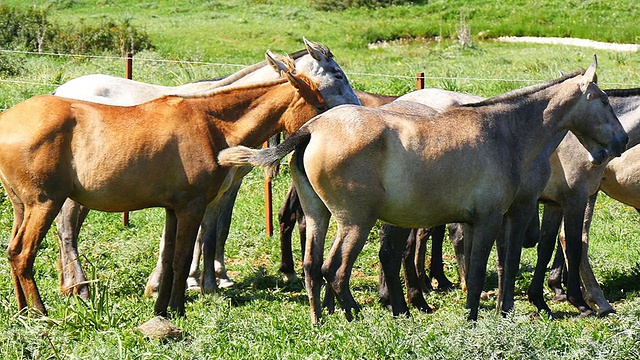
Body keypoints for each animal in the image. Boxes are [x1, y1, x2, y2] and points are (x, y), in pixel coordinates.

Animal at [0, 47, 360, 316]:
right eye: (325, 92)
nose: (347, 120)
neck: (211, 123)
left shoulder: (177, 208)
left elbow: (174, 254)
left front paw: (164, 305)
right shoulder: (193, 205)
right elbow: (187, 253)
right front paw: (183, 303)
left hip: (23, 207)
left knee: (16, 249)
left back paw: (27, 309)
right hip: (45, 204)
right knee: (30, 250)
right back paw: (48, 307)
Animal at [219, 59, 624, 324]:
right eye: (604, 100)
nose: (620, 142)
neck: (505, 131)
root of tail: (310, 128)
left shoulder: (480, 221)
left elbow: (485, 265)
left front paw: (492, 310)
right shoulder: (491, 218)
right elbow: (483, 266)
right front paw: (475, 316)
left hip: (319, 216)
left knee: (310, 265)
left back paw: (322, 319)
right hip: (355, 222)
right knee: (334, 269)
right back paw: (354, 314)